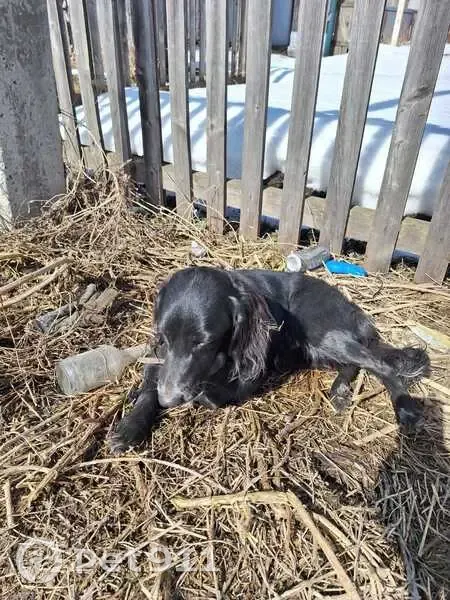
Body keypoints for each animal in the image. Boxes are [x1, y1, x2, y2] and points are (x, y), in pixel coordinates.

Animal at [109, 266, 429, 453]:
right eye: (163, 337)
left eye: (203, 342)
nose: (170, 400)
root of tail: (352, 307)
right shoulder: (160, 358)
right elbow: (150, 386)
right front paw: (130, 427)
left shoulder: (249, 376)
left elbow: (209, 395)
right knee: (356, 362)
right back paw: (339, 391)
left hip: (321, 331)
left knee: (380, 364)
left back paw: (405, 408)